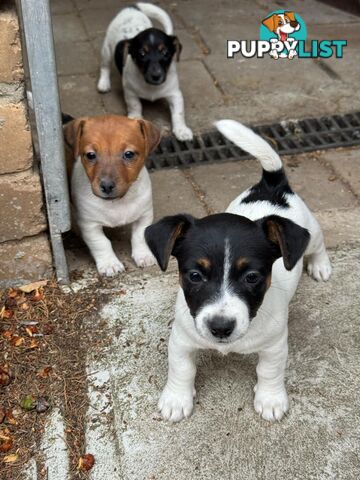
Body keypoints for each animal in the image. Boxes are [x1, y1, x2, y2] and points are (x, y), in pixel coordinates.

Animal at [63, 114, 160, 276]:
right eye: (90, 155)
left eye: (129, 154)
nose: (107, 186)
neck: (118, 202)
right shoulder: (89, 224)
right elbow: (101, 243)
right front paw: (110, 263)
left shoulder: (144, 215)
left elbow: (139, 236)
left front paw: (144, 256)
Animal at [97, 2, 193, 141]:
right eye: (142, 54)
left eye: (165, 53)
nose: (156, 76)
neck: (151, 87)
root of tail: (132, 8)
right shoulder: (130, 91)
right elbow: (135, 105)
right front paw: (135, 118)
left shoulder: (175, 94)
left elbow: (178, 113)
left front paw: (181, 130)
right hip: (107, 50)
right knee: (105, 67)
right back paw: (104, 83)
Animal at [146, 120, 332, 424]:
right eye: (195, 276)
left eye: (252, 277)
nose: (221, 328)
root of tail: (272, 186)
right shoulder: (181, 340)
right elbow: (182, 369)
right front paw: (176, 399)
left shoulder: (275, 345)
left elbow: (269, 371)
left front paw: (270, 399)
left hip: (311, 234)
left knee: (318, 244)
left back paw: (321, 265)